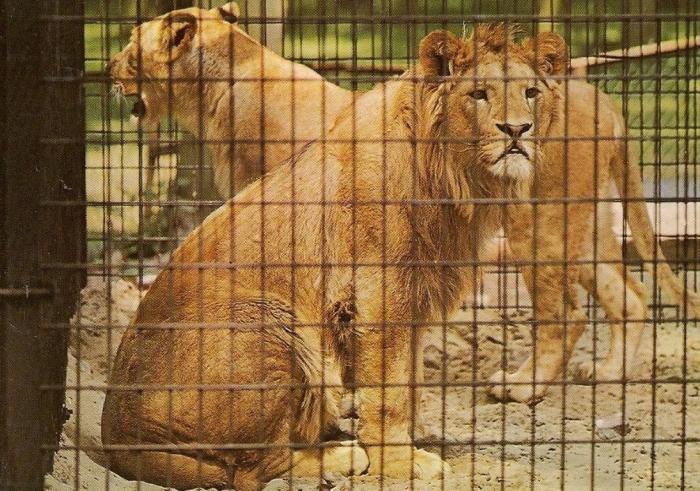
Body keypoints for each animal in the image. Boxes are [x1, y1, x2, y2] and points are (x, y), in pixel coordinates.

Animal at [101, 25, 566, 489]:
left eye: (530, 92)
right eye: (479, 94)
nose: (517, 130)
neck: (458, 179)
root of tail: (115, 438)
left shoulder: (418, 294)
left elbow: (411, 380)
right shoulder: (380, 296)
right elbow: (391, 391)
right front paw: (401, 462)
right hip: (272, 324)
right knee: (253, 468)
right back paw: (341, 455)